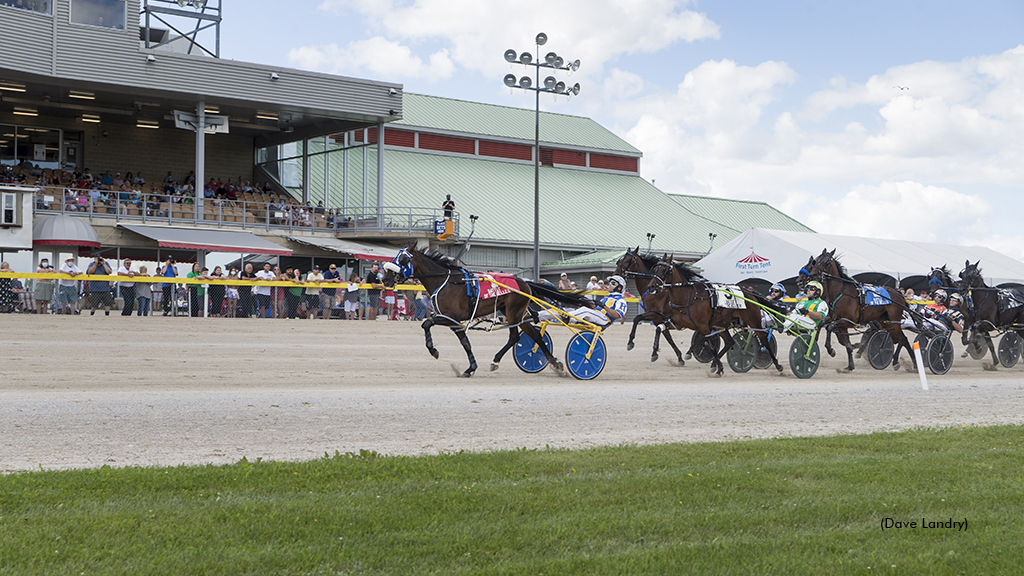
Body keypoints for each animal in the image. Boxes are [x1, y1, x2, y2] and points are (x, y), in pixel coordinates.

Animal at [382, 242, 593, 375]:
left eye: (402, 259)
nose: (385, 278)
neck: (445, 281)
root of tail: (524, 282)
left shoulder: (451, 318)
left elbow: (427, 323)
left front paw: (435, 351)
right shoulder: (453, 321)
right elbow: (464, 342)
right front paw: (470, 367)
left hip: (513, 312)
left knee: (518, 337)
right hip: (515, 314)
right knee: (530, 335)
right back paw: (551, 363)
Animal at [638, 258, 782, 375]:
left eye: (664, 271)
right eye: (655, 269)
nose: (651, 286)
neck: (689, 296)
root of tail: (750, 293)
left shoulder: (703, 326)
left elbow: (711, 346)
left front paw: (719, 368)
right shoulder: (678, 322)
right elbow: (660, 329)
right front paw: (654, 353)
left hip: (753, 320)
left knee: (764, 340)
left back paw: (777, 365)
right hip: (721, 324)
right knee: (730, 342)